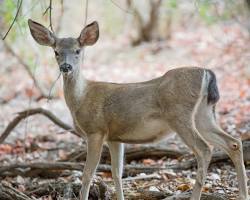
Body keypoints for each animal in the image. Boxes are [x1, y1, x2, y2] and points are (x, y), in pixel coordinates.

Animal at [27, 19, 248, 200]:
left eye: (77, 51)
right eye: (56, 52)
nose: (66, 67)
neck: (81, 97)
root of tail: (207, 72)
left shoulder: (96, 131)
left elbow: (88, 174)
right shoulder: (114, 137)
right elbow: (117, 173)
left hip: (180, 115)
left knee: (204, 149)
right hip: (204, 114)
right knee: (233, 142)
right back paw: (243, 194)